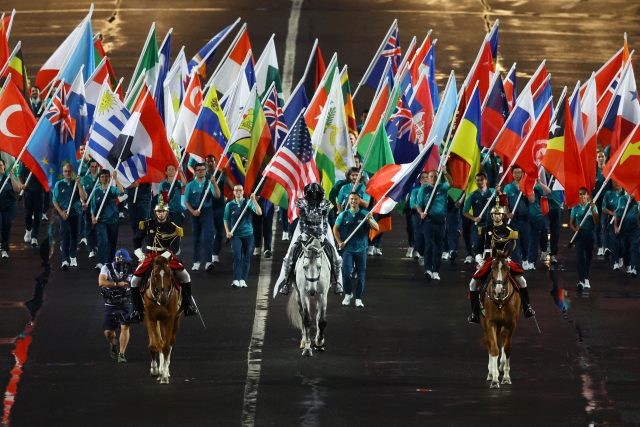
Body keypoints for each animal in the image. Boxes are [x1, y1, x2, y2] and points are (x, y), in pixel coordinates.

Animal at [144, 256, 181, 386]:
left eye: (169, 274)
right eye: (155, 275)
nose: (163, 298)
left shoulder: (169, 319)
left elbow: (166, 346)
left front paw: (164, 375)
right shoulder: (150, 319)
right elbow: (154, 344)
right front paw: (155, 369)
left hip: (175, 321)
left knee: (169, 342)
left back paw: (165, 369)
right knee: (159, 342)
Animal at [480, 254, 520, 392]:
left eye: (507, 268)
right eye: (492, 267)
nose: (498, 291)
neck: (501, 301)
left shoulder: (511, 324)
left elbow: (507, 348)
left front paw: (506, 377)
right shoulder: (490, 322)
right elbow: (493, 349)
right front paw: (495, 379)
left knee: (502, 339)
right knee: (490, 343)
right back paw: (491, 373)